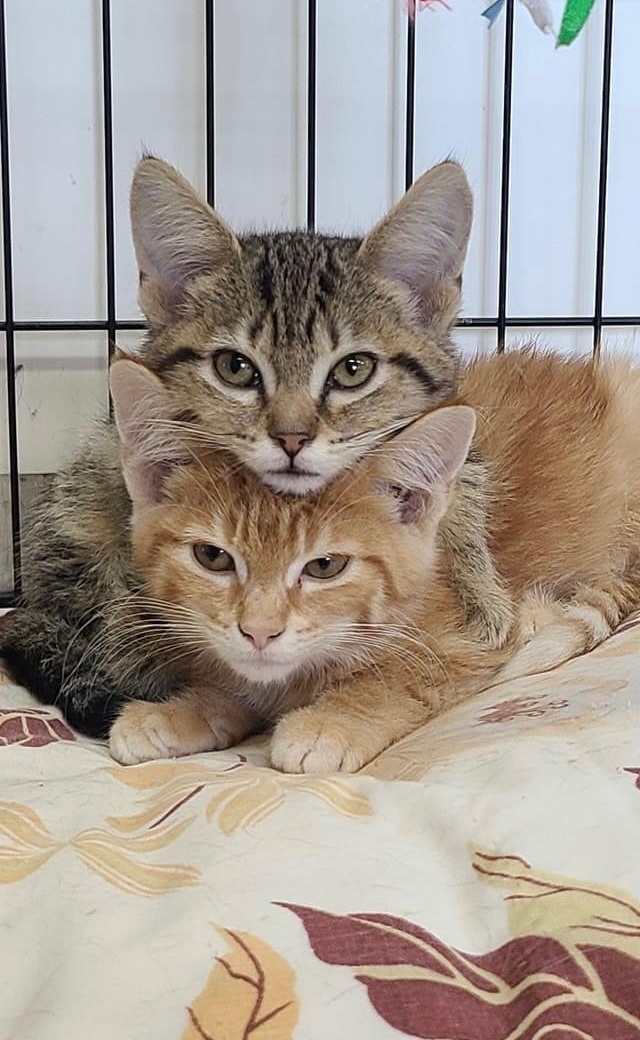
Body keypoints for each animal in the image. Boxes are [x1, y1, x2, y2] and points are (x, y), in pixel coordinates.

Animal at [107, 349, 640, 773]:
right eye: (212, 557)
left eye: (325, 567)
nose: (259, 632)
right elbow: (239, 683)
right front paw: (178, 712)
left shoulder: (466, 641)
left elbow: (399, 680)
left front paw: (333, 720)